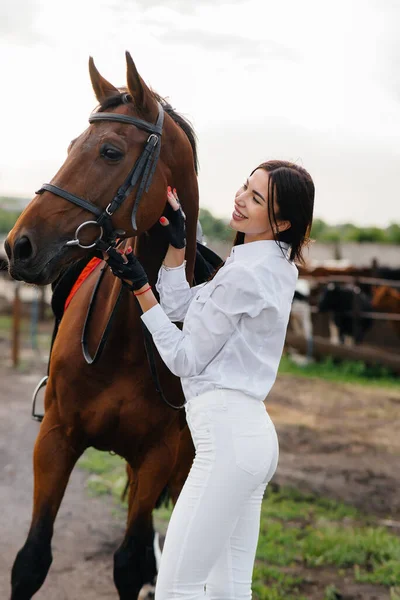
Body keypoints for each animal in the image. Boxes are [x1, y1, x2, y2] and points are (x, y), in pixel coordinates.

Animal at [5, 52, 199, 600]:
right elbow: (31, 560)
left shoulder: (159, 455)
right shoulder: (55, 438)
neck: (131, 343)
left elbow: (131, 564)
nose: (18, 246)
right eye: (72, 146)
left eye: (110, 151)